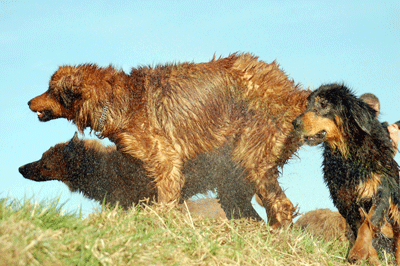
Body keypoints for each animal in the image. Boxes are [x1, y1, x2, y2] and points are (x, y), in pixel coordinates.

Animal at [27, 54, 310, 229]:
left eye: (50, 90)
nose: (29, 101)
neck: (116, 100)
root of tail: (295, 94)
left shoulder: (165, 158)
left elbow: (165, 196)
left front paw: (160, 220)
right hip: (234, 176)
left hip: (251, 154)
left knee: (282, 205)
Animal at [290, 84, 400, 264]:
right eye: (307, 105)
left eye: (323, 104)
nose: (295, 123)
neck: (348, 152)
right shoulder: (344, 200)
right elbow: (359, 227)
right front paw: (367, 256)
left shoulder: (381, 190)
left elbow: (367, 224)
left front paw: (358, 251)